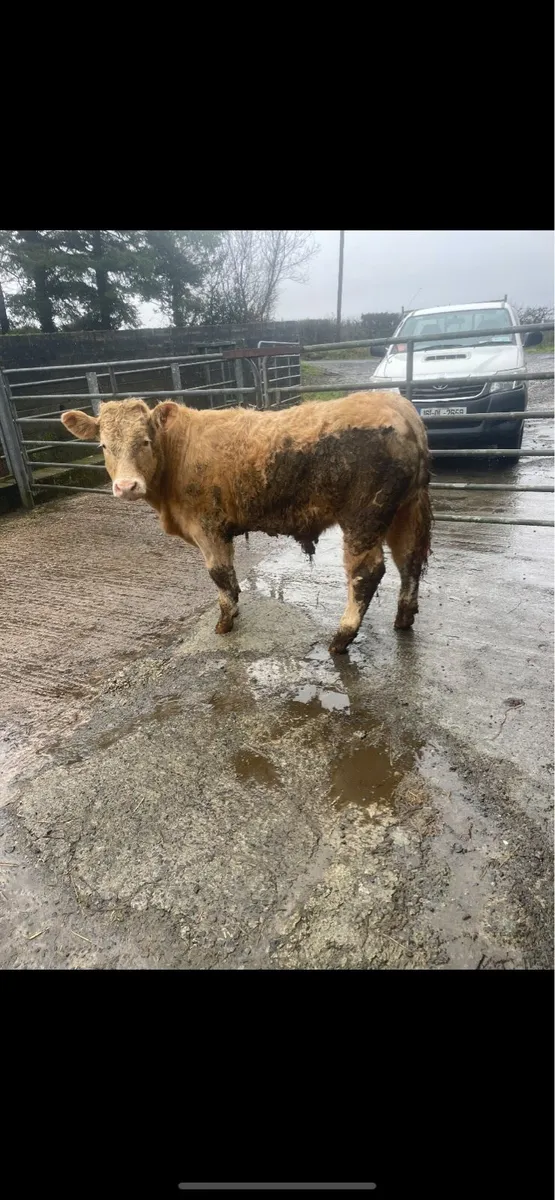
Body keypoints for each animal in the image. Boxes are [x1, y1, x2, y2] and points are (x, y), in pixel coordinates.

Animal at [61, 392, 432, 654]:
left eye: (145, 441)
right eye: (104, 445)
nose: (126, 486)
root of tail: (397, 405)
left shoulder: (207, 527)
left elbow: (220, 575)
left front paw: (225, 622)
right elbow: (230, 575)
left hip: (364, 517)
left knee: (366, 573)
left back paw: (342, 638)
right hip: (404, 510)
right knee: (409, 560)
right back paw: (403, 618)